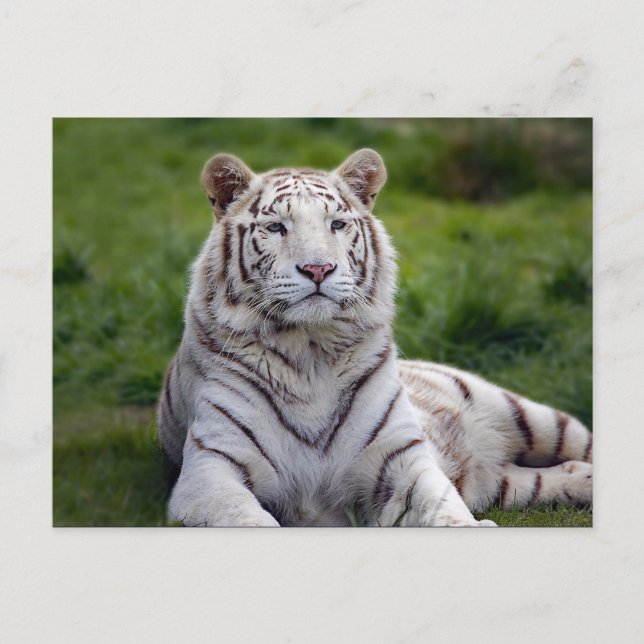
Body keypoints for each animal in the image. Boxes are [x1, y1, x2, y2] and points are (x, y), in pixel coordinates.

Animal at [157, 148, 592, 527]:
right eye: (276, 227)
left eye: (337, 224)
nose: (319, 269)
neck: (309, 351)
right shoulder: (210, 470)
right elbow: (247, 519)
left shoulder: (400, 457)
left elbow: (442, 504)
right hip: (502, 482)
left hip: (528, 415)